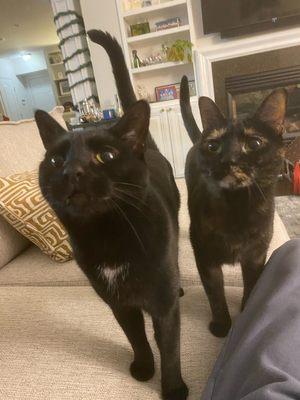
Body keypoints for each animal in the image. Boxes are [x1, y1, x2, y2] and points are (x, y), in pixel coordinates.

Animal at [35, 32, 188, 400]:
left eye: (105, 156)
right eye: (55, 161)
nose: (72, 172)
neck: (108, 234)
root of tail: (149, 146)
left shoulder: (162, 306)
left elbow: (170, 347)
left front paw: (173, 388)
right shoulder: (119, 304)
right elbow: (137, 338)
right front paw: (144, 368)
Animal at [179, 75, 288, 338]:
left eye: (254, 143)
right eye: (213, 146)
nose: (228, 160)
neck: (237, 207)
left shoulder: (256, 256)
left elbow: (252, 285)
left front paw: (247, 311)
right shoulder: (205, 258)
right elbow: (215, 294)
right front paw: (221, 325)